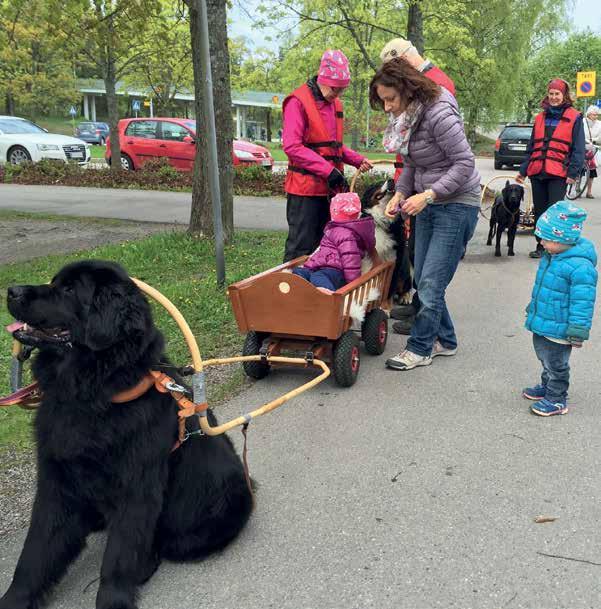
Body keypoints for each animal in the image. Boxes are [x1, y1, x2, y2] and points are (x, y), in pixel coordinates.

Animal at [1, 260, 252, 608]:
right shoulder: (56, 481)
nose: (11, 290)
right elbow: (34, 554)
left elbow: (119, 556)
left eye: (69, 289)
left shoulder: (137, 488)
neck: (92, 395)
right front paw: (15, 598)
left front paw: (114, 599)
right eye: (54, 281)